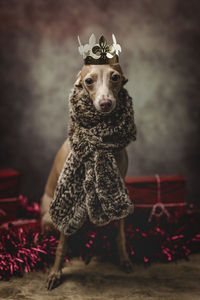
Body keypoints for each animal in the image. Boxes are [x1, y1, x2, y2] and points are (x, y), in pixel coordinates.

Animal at [40, 62, 134, 290]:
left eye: (115, 77)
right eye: (88, 81)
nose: (106, 103)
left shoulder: (121, 187)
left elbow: (120, 234)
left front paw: (124, 260)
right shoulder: (68, 208)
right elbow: (62, 244)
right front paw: (55, 273)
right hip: (47, 218)